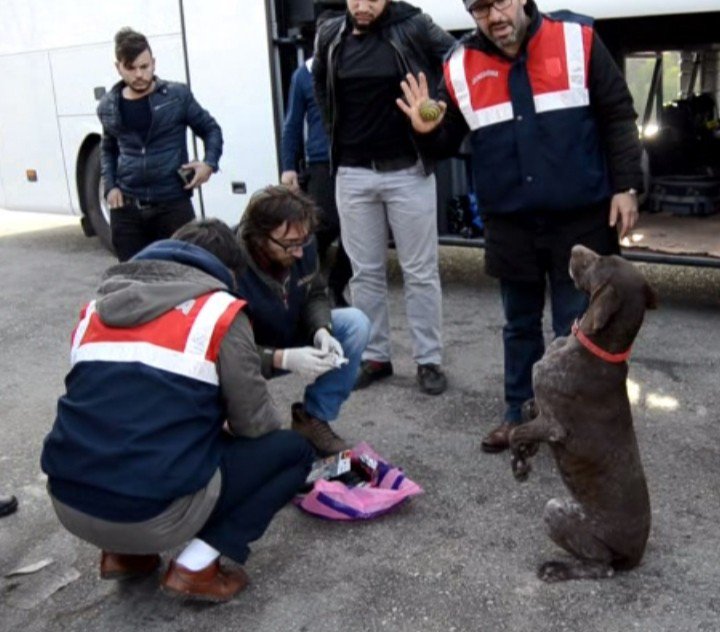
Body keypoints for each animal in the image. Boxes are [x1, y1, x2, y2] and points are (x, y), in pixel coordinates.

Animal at [506, 246, 660, 584]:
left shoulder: (554, 425)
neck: (594, 347)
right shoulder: (540, 410)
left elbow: (515, 431)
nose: (575, 247)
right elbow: (525, 412)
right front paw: (526, 452)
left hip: (556, 511)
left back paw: (557, 569)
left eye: (601, 261)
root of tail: (636, 554)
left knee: (602, 567)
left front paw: (519, 463)